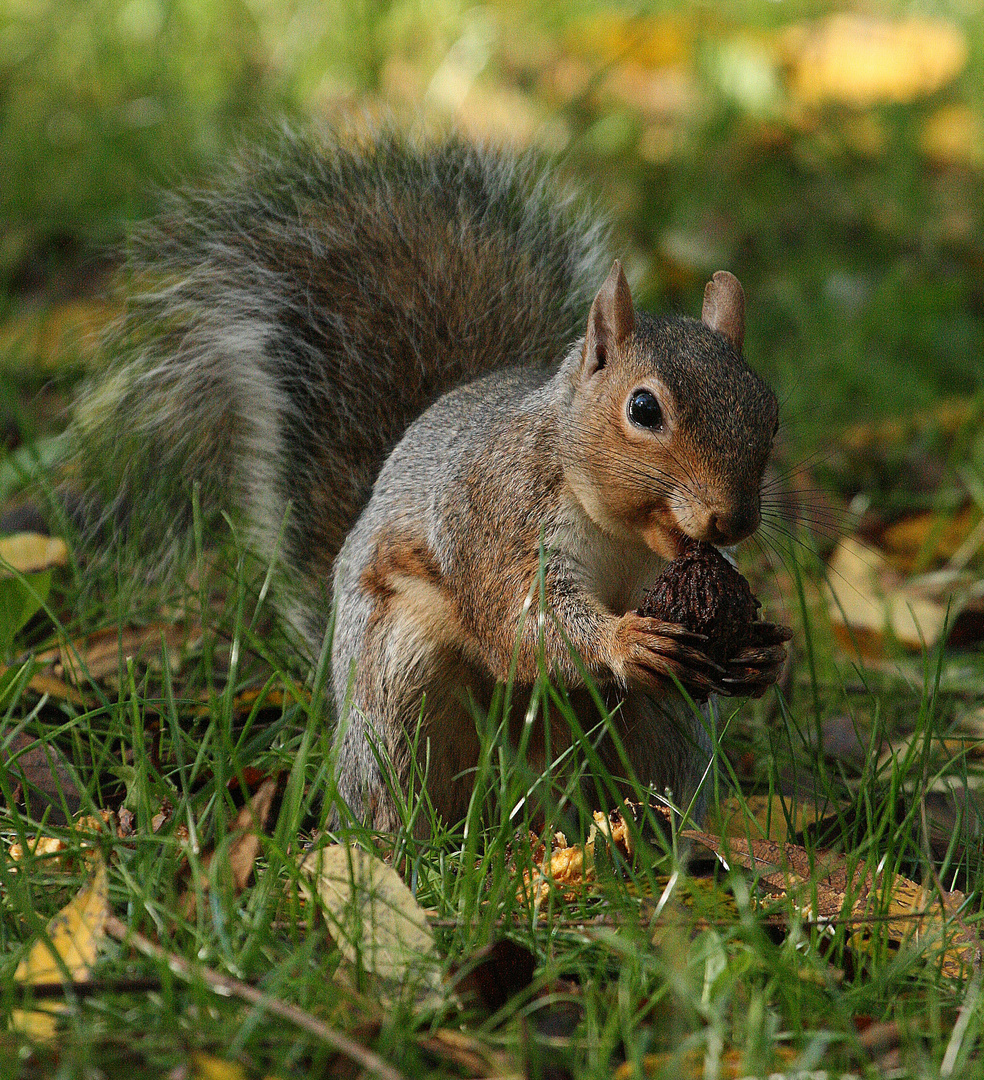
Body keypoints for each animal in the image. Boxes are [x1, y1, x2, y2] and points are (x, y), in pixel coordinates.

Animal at [75, 126, 790, 833]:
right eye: (643, 409)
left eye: (770, 408)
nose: (734, 518)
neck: (615, 527)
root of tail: (531, 804)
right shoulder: (498, 517)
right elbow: (521, 622)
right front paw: (623, 639)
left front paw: (763, 652)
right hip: (402, 678)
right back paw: (405, 843)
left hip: (667, 723)